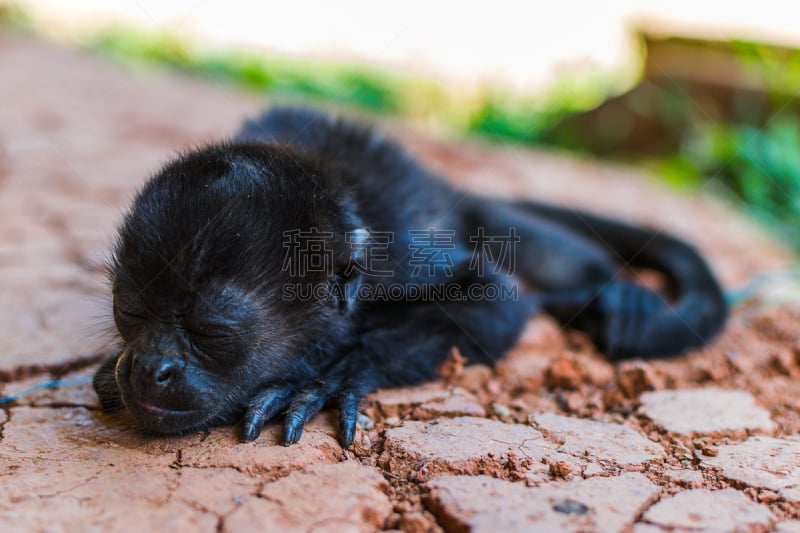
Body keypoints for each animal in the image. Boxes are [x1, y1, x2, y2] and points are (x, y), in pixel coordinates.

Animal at [92, 106, 724, 446]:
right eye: (131, 311)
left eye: (212, 331)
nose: (150, 368)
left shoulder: (399, 262)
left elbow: (497, 301)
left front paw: (329, 376)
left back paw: (619, 298)